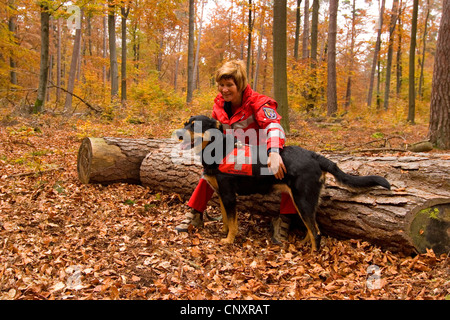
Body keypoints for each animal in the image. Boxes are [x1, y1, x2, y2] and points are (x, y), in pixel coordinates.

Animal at [176, 115, 390, 250]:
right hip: (306, 200)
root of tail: (315, 156)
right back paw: (304, 244)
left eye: (195, 126)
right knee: (314, 228)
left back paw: (312, 257)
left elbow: (233, 223)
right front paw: (224, 233)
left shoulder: (229, 195)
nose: (178, 134)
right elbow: (226, 220)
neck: (217, 150)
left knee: (316, 233)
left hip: (302, 199)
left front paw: (228, 241)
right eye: (186, 123)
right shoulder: (221, 194)